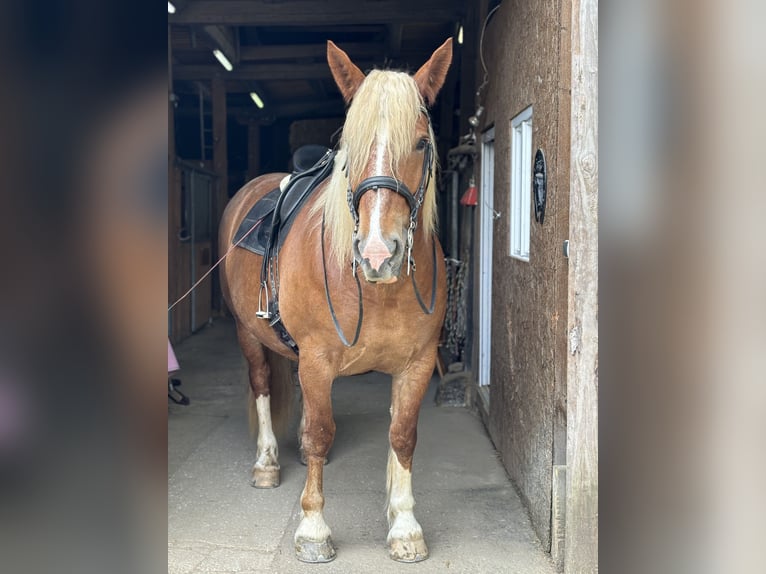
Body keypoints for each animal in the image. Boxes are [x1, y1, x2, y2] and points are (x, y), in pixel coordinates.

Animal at [219, 40, 452, 568]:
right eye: (351, 149)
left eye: (421, 144)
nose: (379, 254)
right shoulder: (318, 358)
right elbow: (321, 433)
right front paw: (312, 529)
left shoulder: (417, 364)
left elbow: (402, 435)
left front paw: (404, 526)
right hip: (248, 335)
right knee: (263, 386)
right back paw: (267, 462)